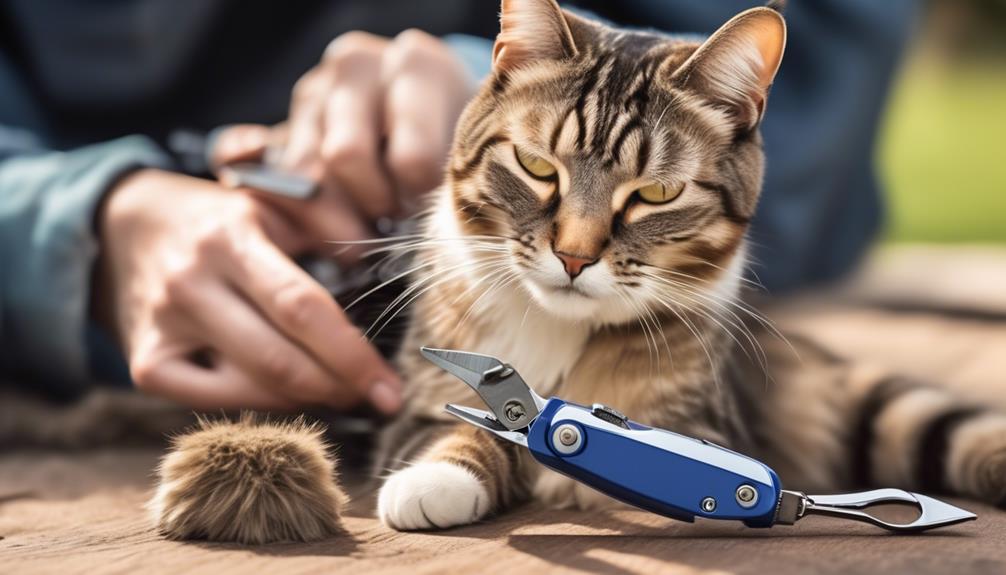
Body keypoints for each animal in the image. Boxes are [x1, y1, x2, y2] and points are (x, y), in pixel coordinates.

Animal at [148, 0, 1006, 542]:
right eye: (536, 167)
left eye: (655, 193)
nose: (573, 254)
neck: (557, 325)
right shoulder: (418, 401)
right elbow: (470, 431)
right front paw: (444, 475)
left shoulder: (706, 422)